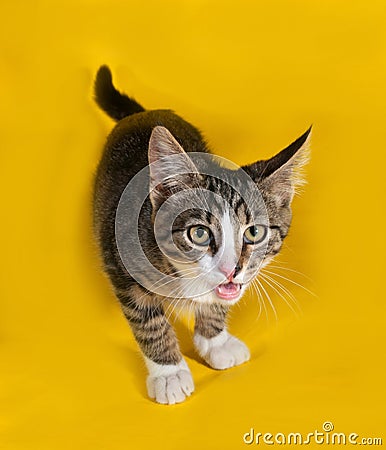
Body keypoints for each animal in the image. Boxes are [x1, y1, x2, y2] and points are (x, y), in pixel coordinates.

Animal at [91, 66, 310, 404]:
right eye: (199, 234)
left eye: (254, 232)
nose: (232, 269)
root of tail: (144, 114)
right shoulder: (120, 260)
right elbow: (148, 321)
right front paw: (169, 373)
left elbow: (219, 300)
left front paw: (215, 341)